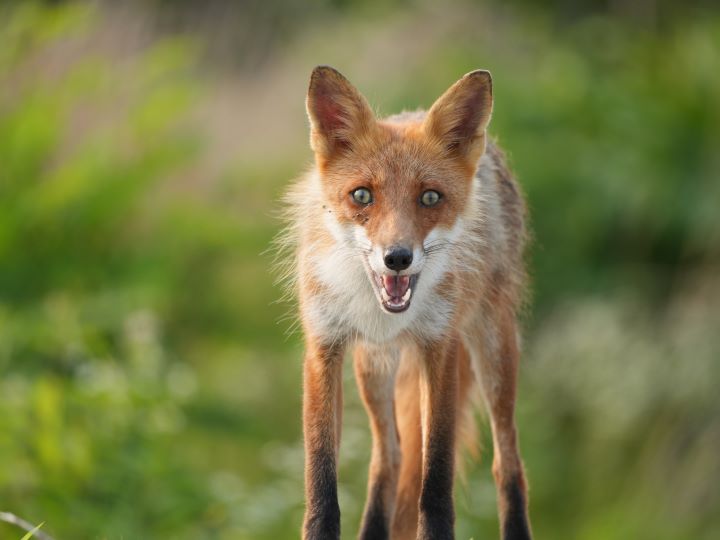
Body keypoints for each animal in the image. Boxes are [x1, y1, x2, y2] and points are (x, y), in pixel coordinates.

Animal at [280, 67, 528, 540]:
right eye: (362, 196)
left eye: (429, 197)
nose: (397, 257)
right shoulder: (323, 348)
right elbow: (321, 476)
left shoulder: (439, 348)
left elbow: (436, 480)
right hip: (374, 369)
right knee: (389, 457)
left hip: (493, 350)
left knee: (508, 463)